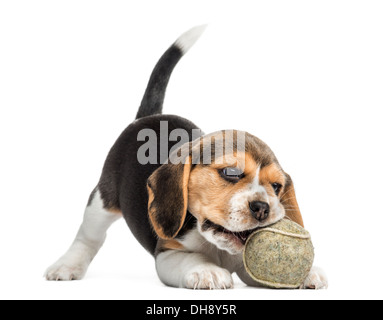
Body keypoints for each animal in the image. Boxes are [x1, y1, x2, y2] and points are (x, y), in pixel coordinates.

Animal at [44, 26, 328, 288]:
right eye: (231, 173)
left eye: (277, 187)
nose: (262, 207)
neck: (217, 247)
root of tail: (148, 117)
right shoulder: (167, 252)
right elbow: (190, 258)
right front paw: (207, 271)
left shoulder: (246, 265)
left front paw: (308, 272)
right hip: (102, 199)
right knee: (89, 236)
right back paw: (66, 266)